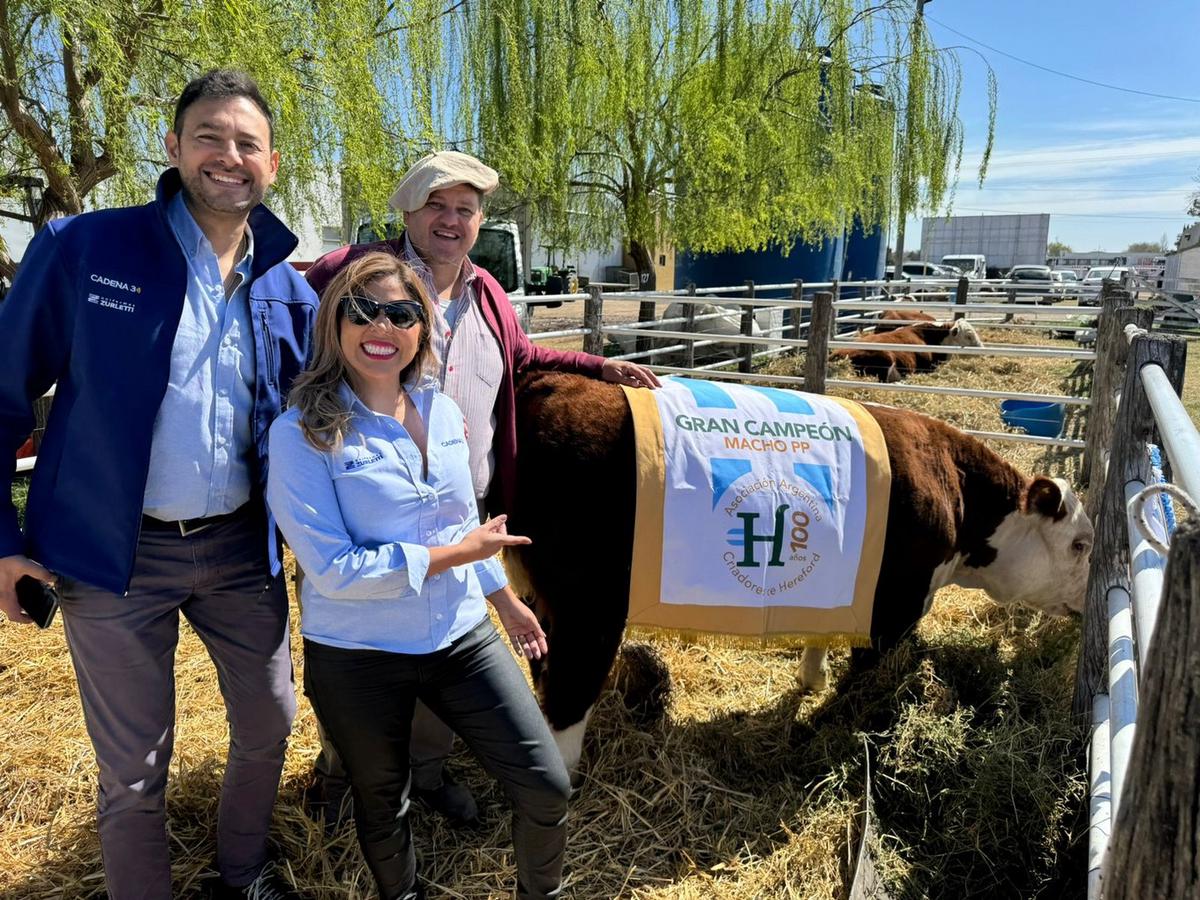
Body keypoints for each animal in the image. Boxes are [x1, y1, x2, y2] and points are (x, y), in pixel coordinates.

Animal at [501, 374, 1094, 777]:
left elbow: (821, 635)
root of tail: (555, 381)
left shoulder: (842, 583)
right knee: (567, 696)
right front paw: (833, 725)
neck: (955, 490)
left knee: (544, 674)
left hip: (540, 598)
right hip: (589, 610)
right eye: (1080, 544)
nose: (1088, 598)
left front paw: (812, 681)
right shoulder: (894, 606)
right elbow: (863, 676)